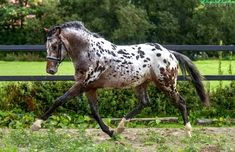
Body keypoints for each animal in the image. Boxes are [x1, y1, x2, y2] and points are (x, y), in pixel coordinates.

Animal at [31, 21, 209, 137]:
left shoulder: (82, 85)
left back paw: (188, 131)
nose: (50, 70)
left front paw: (36, 125)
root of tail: (170, 53)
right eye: (46, 46)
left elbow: (59, 101)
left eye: (55, 46)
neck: (88, 52)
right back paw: (120, 128)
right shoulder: (90, 88)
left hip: (167, 84)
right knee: (144, 103)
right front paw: (110, 133)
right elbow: (95, 112)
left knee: (181, 102)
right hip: (141, 83)